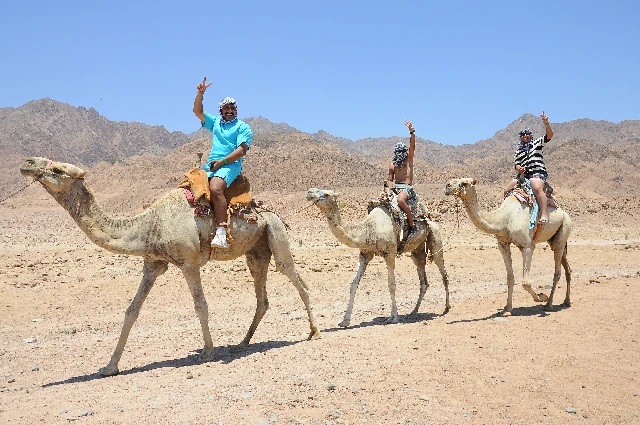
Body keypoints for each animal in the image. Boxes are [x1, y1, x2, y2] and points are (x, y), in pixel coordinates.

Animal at [19, 157, 320, 376]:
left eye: (57, 169)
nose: (27, 163)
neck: (150, 225)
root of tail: (267, 210)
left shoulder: (188, 262)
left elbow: (201, 306)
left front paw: (208, 352)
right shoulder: (153, 265)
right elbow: (131, 311)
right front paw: (110, 366)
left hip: (276, 234)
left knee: (298, 280)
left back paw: (314, 332)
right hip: (256, 252)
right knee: (262, 296)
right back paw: (243, 342)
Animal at [305, 188, 450, 327]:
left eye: (327, 194)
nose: (309, 192)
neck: (369, 229)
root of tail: (428, 217)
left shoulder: (390, 253)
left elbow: (391, 284)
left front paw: (393, 318)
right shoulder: (365, 254)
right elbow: (353, 284)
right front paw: (345, 321)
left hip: (435, 238)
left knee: (443, 274)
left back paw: (446, 308)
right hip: (417, 251)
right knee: (423, 280)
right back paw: (413, 312)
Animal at [444, 178, 572, 315]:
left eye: (465, 183)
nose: (447, 186)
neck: (503, 219)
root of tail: (564, 213)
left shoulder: (527, 246)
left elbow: (525, 282)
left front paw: (542, 297)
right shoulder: (503, 244)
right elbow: (510, 277)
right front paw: (507, 309)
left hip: (564, 229)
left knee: (557, 272)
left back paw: (549, 304)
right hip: (554, 239)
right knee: (567, 268)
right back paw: (567, 301)